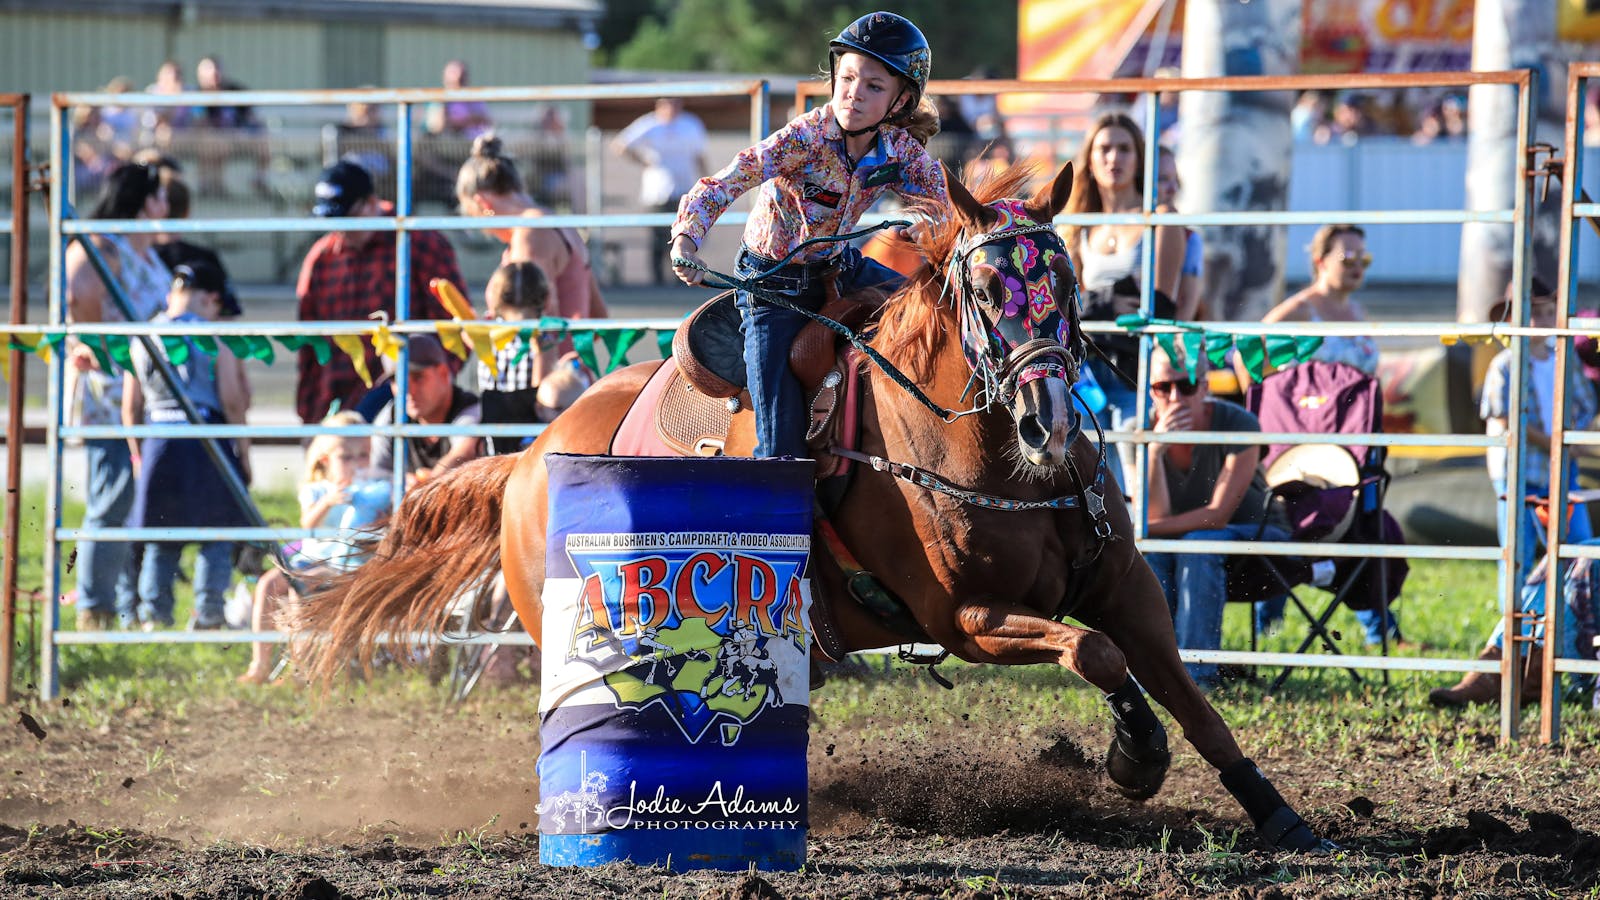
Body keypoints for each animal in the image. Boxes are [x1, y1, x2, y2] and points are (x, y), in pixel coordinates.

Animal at [300, 160, 1337, 845]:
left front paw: (1277, 815)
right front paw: (1134, 757)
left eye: (1064, 277)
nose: (1046, 418)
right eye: (985, 284)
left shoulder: (1127, 585)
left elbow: (1184, 693)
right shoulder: (966, 618)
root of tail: (523, 460)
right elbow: (1095, 654)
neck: (992, 459)